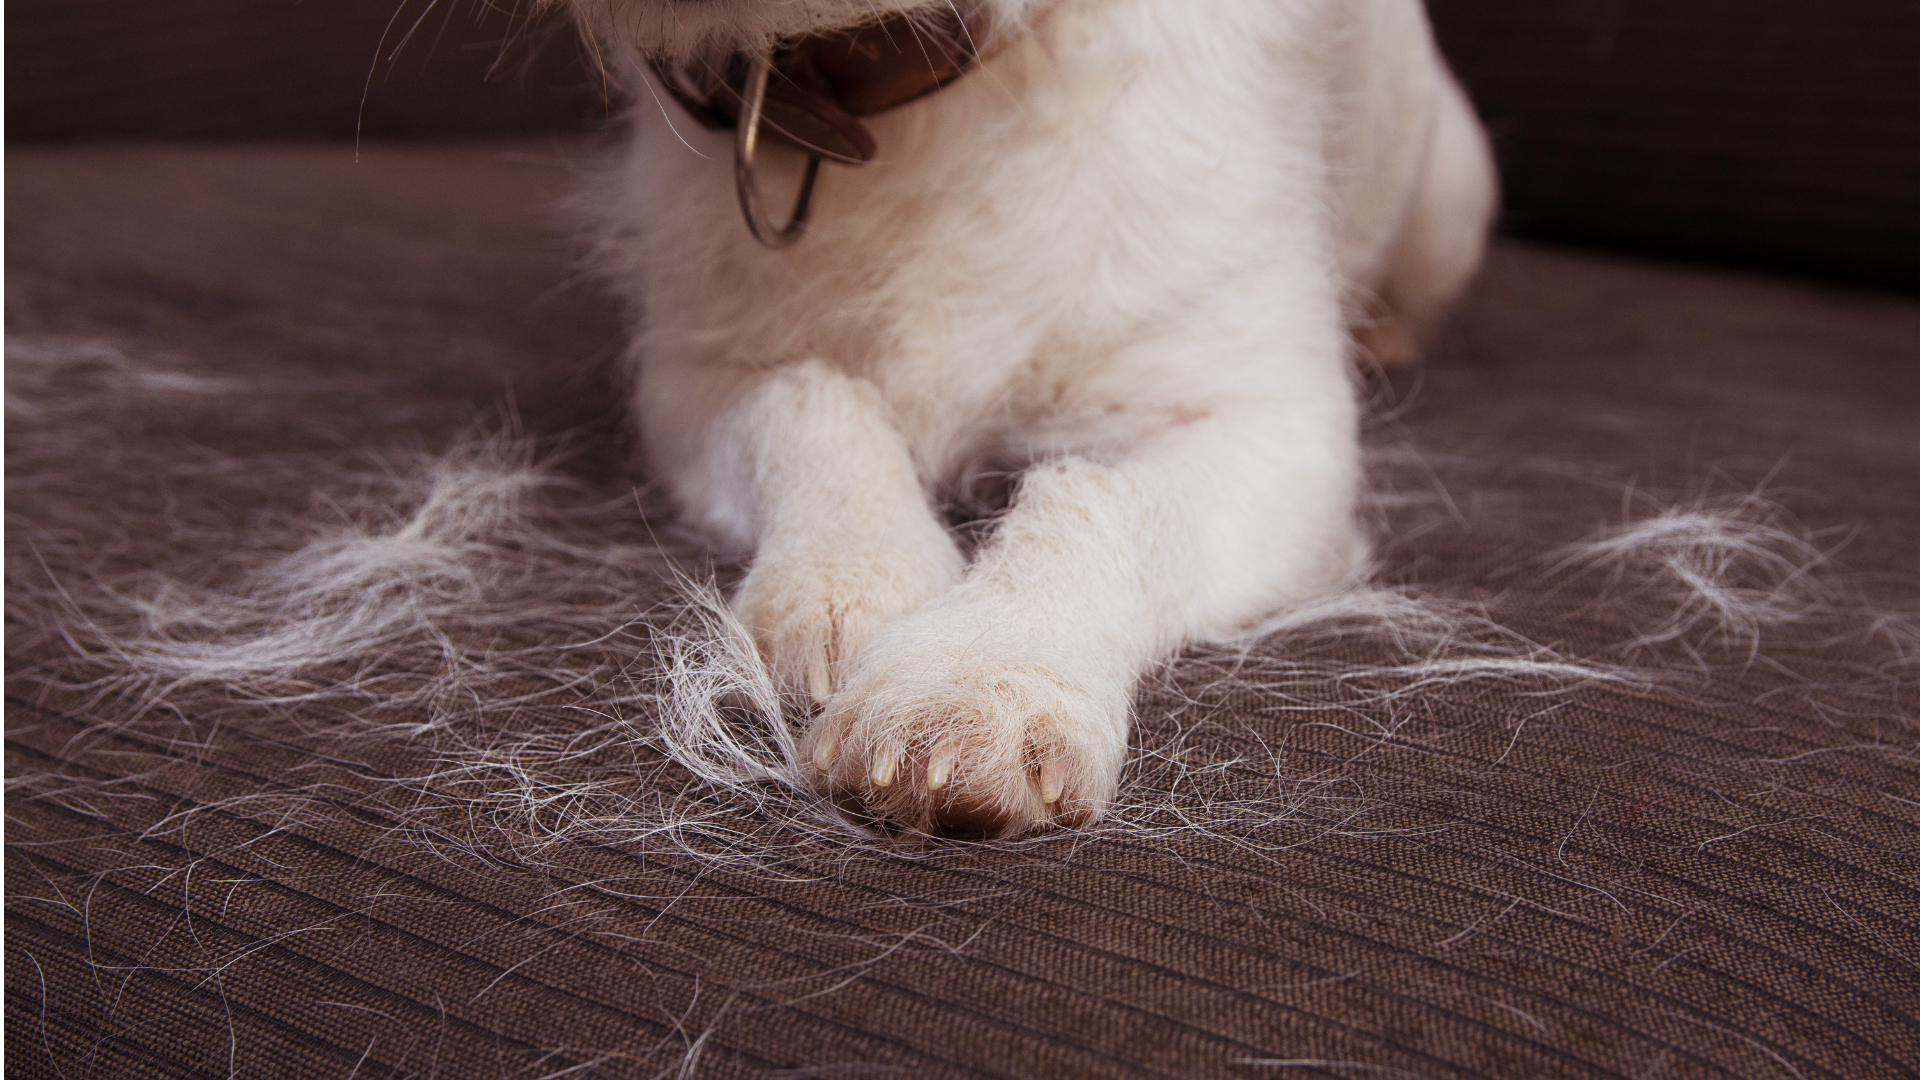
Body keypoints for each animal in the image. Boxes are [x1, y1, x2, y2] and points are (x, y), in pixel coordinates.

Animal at [556, 0, 1497, 834]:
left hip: (1453, 195)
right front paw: (848, 572)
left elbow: (1106, 498)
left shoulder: (1276, 428)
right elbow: (809, 401)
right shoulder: (694, 381)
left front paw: (982, 673)